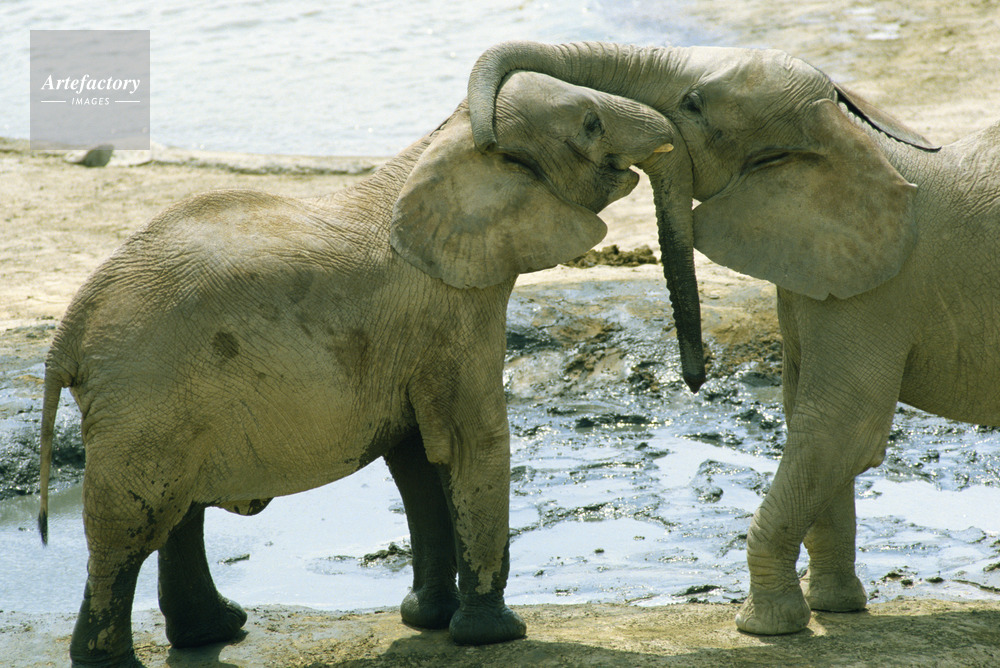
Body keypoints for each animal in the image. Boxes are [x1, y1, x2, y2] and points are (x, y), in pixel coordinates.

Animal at [36, 71, 679, 666]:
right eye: (590, 124)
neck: (450, 137)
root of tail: (68, 332)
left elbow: (417, 457)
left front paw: (429, 620)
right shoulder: (453, 308)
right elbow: (472, 441)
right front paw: (494, 634)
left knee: (176, 509)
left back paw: (216, 632)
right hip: (145, 390)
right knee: (132, 523)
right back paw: (117, 657)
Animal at [465, 41, 1000, 635]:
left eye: (693, 104)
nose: (487, 140)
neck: (847, 133)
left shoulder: (879, 293)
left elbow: (842, 427)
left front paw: (766, 627)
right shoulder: (822, 270)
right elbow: (808, 418)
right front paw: (834, 608)